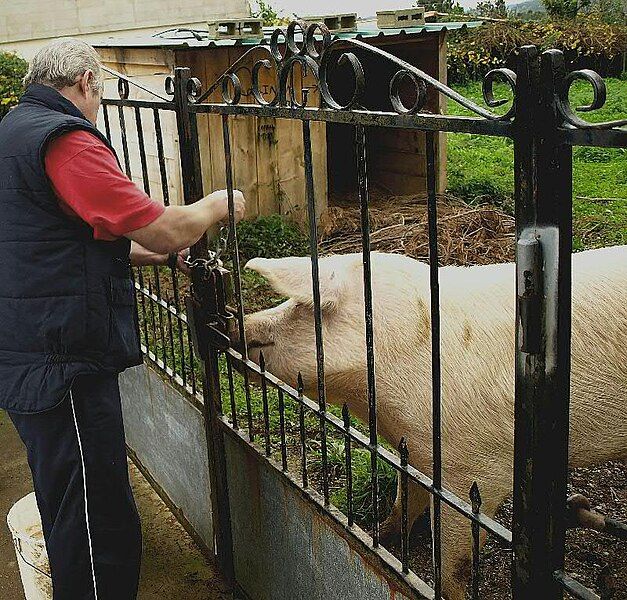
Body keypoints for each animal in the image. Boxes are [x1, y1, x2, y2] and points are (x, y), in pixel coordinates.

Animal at [242, 245, 627, 600]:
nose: (238, 324)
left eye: (302, 306)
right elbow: (405, 499)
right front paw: (379, 537)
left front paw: (445, 591)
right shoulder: (413, 450)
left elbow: (453, 558)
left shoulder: (479, 470)